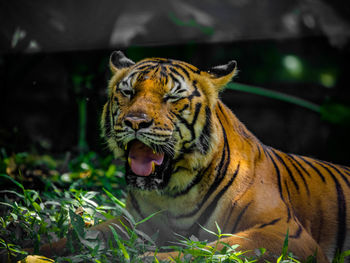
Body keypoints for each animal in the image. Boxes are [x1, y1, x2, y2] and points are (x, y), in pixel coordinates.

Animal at [36, 51, 350, 263]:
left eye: (172, 98)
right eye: (128, 92)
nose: (135, 122)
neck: (173, 192)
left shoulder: (286, 234)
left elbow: (213, 248)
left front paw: (150, 257)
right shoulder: (131, 224)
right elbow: (78, 236)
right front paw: (36, 249)